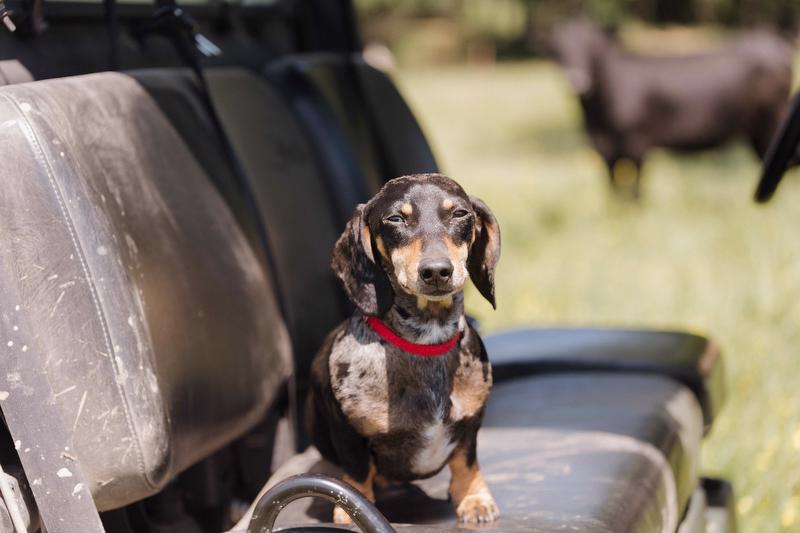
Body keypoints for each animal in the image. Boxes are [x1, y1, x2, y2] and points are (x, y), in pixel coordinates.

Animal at [551, 18, 793, 198]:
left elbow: (636, 193)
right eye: (560, 48)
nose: (576, 78)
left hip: (773, 127)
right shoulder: (605, 150)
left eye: (592, 45)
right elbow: (613, 192)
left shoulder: (638, 145)